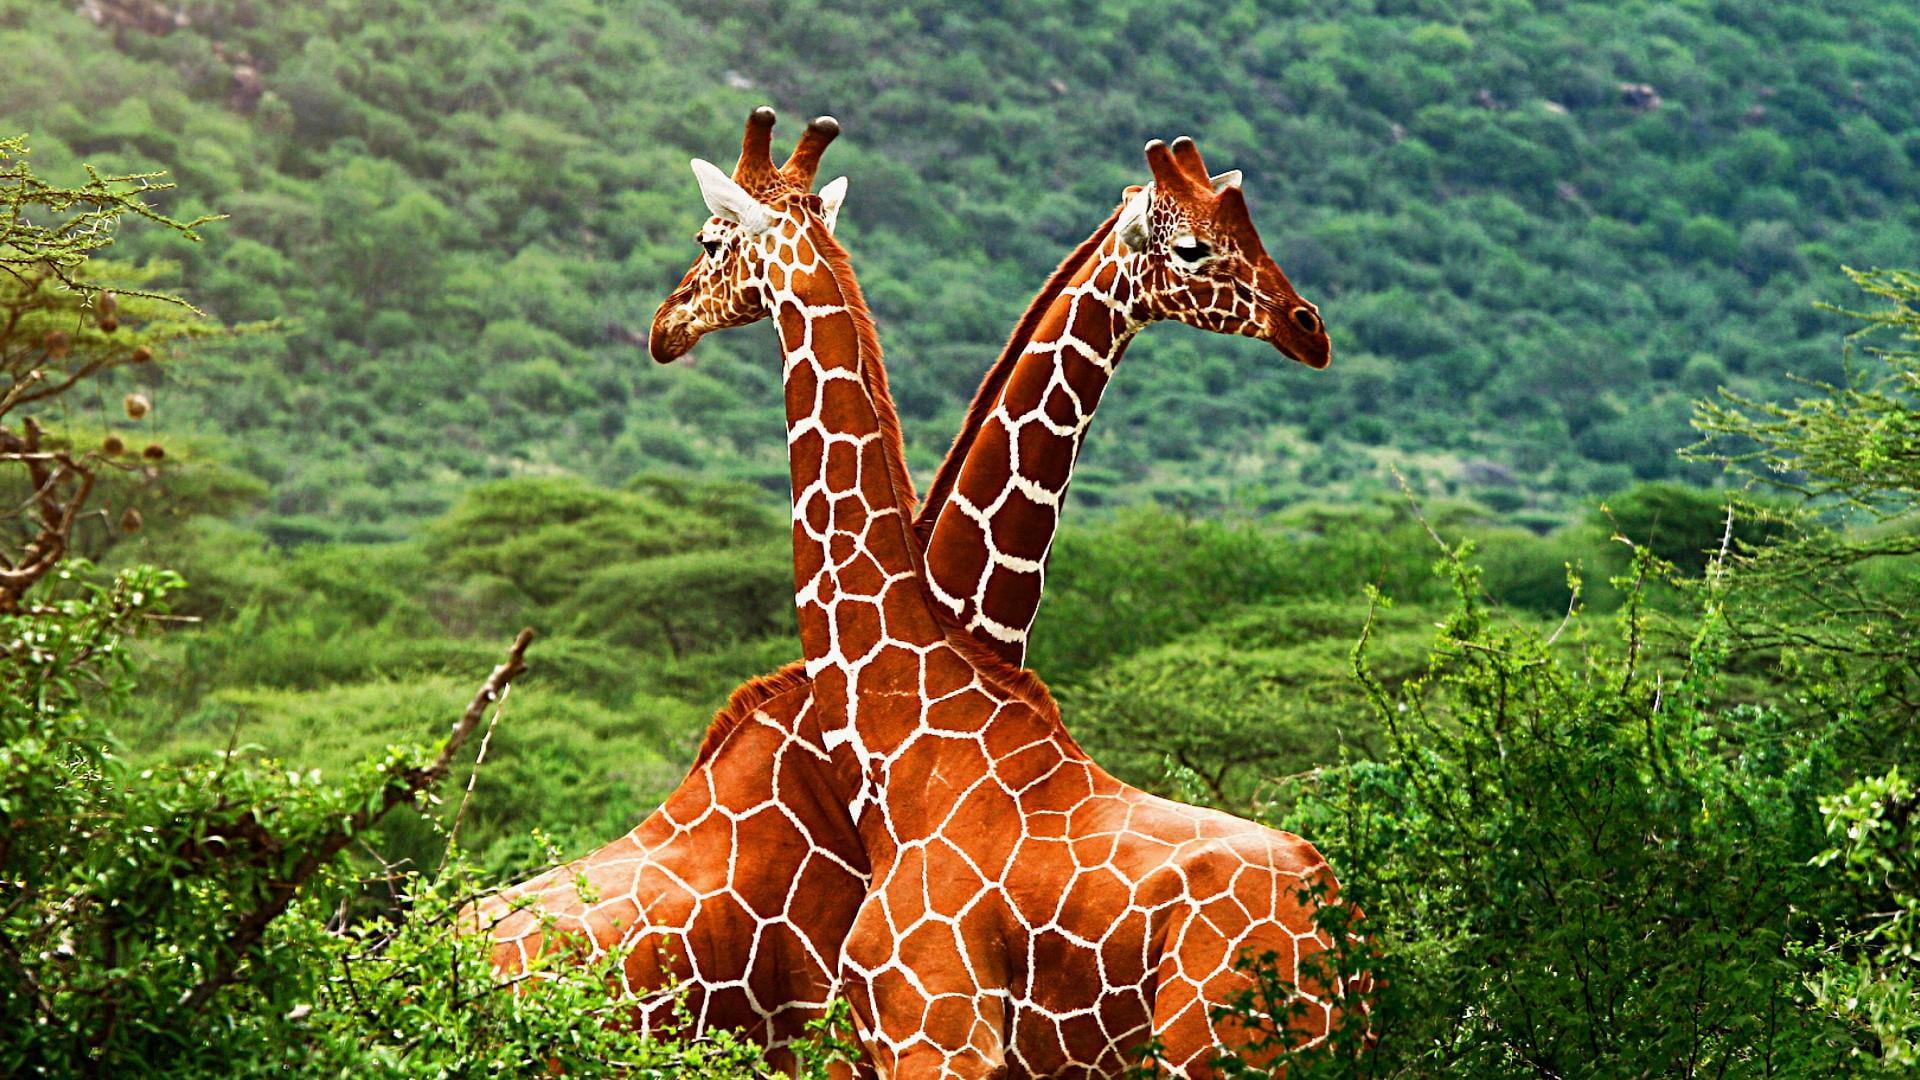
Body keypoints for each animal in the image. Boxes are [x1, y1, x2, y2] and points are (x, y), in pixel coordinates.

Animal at [646, 109, 1361, 1077]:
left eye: (708, 239)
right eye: (1196, 245)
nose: (665, 323)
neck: (907, 738)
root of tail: (1339, 930)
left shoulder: (932, 1030)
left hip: (1219, 1047)